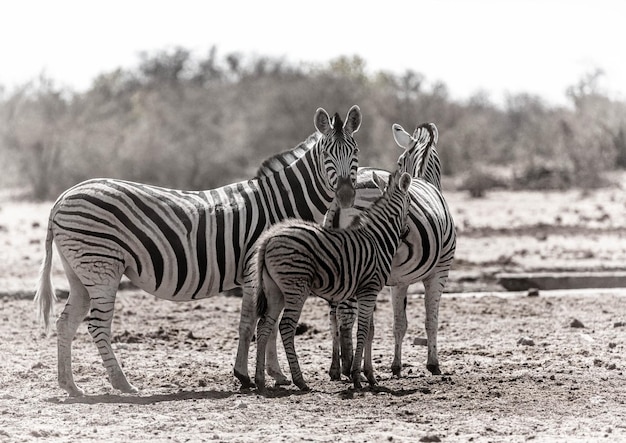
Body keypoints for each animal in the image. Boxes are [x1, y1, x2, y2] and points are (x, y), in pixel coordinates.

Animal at [35, 106, 360, 398]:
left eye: (355, 153)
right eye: (327, 155)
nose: (346, 196)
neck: (279, 203)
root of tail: (62, 197)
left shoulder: (269, 276)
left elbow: (263, 321)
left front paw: (272, 375)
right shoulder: (255, 271)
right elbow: (251, 323)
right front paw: (247, 376)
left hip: (81, 272)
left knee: (66, 322)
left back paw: (70, 385)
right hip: (102, 266)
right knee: (97, 325)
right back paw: (121, 383)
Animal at [251, 170, 412, 392]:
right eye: (410, 202)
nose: (406, 232)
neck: (378, 238)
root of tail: (269, 237)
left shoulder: (366, 291)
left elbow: (370, 331)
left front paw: (370, 377)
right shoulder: (369, 289)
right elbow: (362, 330)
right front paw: (356, 376)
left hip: (274, 290)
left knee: (264, 326)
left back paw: (259, 380)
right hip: (296, 286)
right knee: (286, 326)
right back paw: (300, 381)